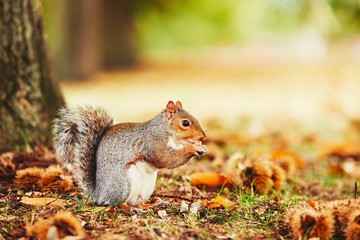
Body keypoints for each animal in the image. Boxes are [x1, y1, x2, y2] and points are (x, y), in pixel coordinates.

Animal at [51, 100, 207, 205]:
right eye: (185, 123)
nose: (203, 137)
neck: (165, 130)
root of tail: (99, 193)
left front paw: (201, 148)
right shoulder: (153, 142)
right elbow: (166, 159)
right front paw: (194, 148)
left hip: (146, 188)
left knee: (138, 201)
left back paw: (152, 204)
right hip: (123, 184)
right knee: (116, 203)